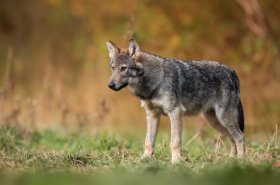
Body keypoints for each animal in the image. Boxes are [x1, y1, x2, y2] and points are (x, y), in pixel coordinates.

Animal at [106, 38, 244, 163]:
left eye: (123, 68)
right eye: (113, 68)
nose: (110, 85)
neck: (153, 81)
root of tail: (232, 71)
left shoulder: (175, 112)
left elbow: (175, 142)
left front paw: (175, 162)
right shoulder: (152, 114)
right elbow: (148, 141)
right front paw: (144, 159)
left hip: (223, 118)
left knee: (240, 136)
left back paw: (240, 160)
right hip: (214, 121)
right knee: (232, 138)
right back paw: (231, 160)